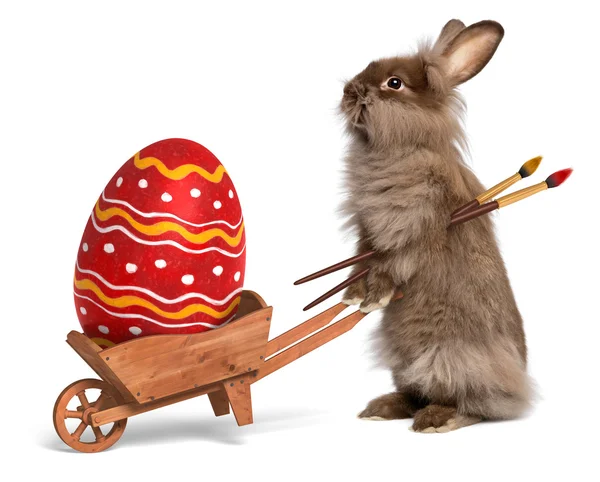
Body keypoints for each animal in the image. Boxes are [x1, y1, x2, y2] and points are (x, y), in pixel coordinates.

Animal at [340, 18, 532, 434]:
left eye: (394, 83)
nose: (348, 91)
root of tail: (517, 389)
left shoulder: (414, 228)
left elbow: (391, 264)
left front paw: (374, 298)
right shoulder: (367, 230)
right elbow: (361, 258)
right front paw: (351, 296)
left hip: (449, 358)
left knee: (471, 404)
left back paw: (435, 420)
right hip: (402, 359)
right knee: (416, 392)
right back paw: (382, 407)